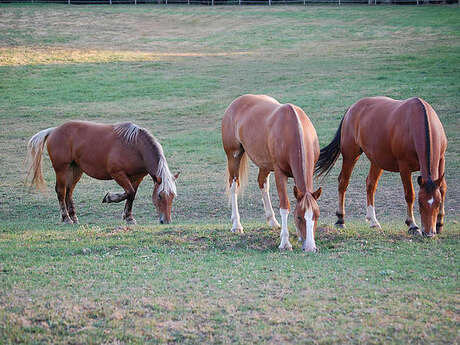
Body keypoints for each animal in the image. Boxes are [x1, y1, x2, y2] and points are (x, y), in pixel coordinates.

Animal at [25, 120, 180, 223]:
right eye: (160, 196)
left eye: (172, 196)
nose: (166, 221)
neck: (135, 146)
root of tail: (53, 130)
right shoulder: (118, 174)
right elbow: (128, 192)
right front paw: (110, 198)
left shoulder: (137, 177)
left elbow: (132, 195)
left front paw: (129, 217)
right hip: (62, 169)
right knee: (61, 191)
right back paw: (66, 218)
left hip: (75, 170)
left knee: (69, 192)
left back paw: (73, 216)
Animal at [221, 93, 322, 250]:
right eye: (299, 217)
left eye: (316, 216)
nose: (311, 248)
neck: (293, 129)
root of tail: (235, 103)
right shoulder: (280, 174)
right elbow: (285, 206)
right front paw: (285, 242)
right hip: (234, 156)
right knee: (234, 186)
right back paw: (236, 224)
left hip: (264, 165)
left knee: (262, 184)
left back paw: (272, 220)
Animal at [314, 96, 448, 236]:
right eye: (420, 204)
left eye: (438, 203)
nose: (429, 233)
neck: (416, 121)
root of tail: (352, 108)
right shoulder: (404, 166)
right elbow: (409, 194)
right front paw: (412, 224)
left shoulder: (441, 159)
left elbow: (442, 188)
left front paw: (439, 223)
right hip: (351, 155)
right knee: (343, 182)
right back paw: (340, 219)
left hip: (377, 161)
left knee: (370, 184)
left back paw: (373, 221)